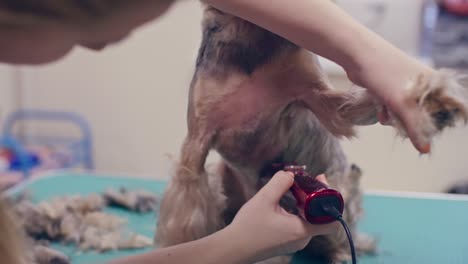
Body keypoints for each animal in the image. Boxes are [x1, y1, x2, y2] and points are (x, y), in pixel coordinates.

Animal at [155, 2, 468, 264]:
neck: (253, 35)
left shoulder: (321, 101)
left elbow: (360, 103)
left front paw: (433, 104)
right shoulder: (197, 141)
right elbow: (185, 220)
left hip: (343, 190)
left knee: (337, 236)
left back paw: (338, 253)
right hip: (221, 177)